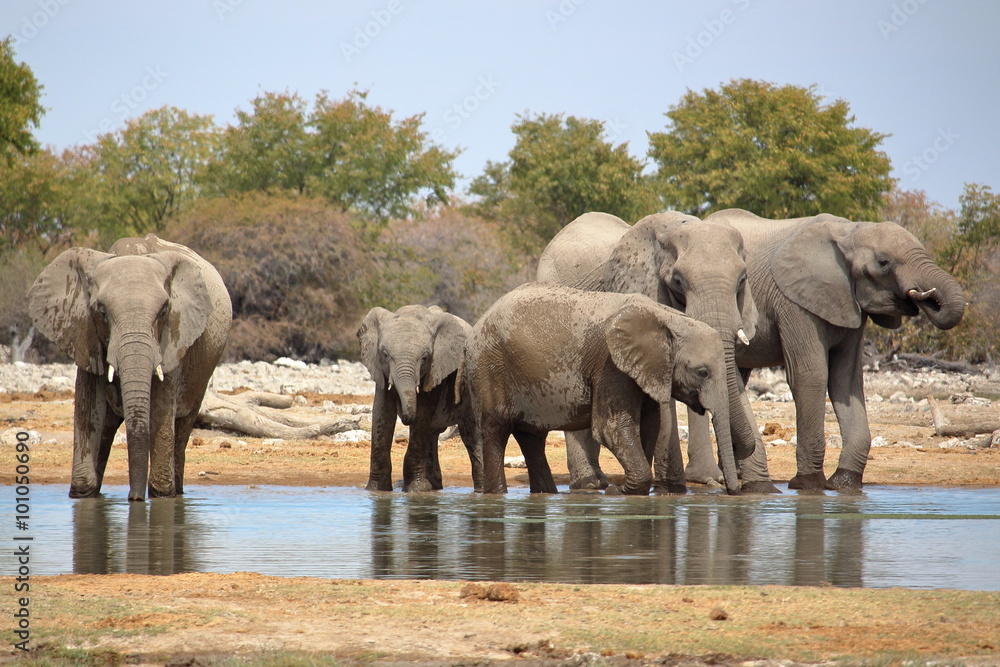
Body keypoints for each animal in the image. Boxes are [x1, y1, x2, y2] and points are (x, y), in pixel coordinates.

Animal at [27, 234, 232, 501]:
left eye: (164, 311)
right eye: (101, 311)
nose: (134, 498)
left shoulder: (173, 340)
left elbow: (161, 407)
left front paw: (160, 495)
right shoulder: (84, 334)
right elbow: (89, 407)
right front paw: (83, 493)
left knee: (183, 424)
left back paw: (176, 490)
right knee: (106, 428)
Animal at [358, 305, 482, 492]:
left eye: (425, 357)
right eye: (384, 354)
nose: (406, 416)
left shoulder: (436, 369)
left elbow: (422, 412)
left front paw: (417, 490)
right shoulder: (380, 369)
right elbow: (382, 412)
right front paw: (376, 490)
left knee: (470, 434)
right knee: (432, 433)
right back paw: (434, 486)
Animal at [462, 283, 741, 496]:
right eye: (702, 372)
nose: (732, 490)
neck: (668, 318)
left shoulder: (646, 369)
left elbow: (649, 425)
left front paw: (626, 490)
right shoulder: (611, 365)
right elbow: (611, 428)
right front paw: (617, 492)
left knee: (532, 438)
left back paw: (545, 494)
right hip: (489, 366)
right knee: (497, 429)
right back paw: (497, 495)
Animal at [537, 211, 764, 492]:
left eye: (742, 279)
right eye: (678, 281)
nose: (732, 487)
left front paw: (761, 488)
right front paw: (672, 491)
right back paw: (589, 484)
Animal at [685, 209, 966, 492]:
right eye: (883, 263)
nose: (926, 299)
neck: (850, 231)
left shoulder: (850, 305)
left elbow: (846, 381)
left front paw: (843, 483)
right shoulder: (795, 302)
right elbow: (811, 375)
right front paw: (808, 485)